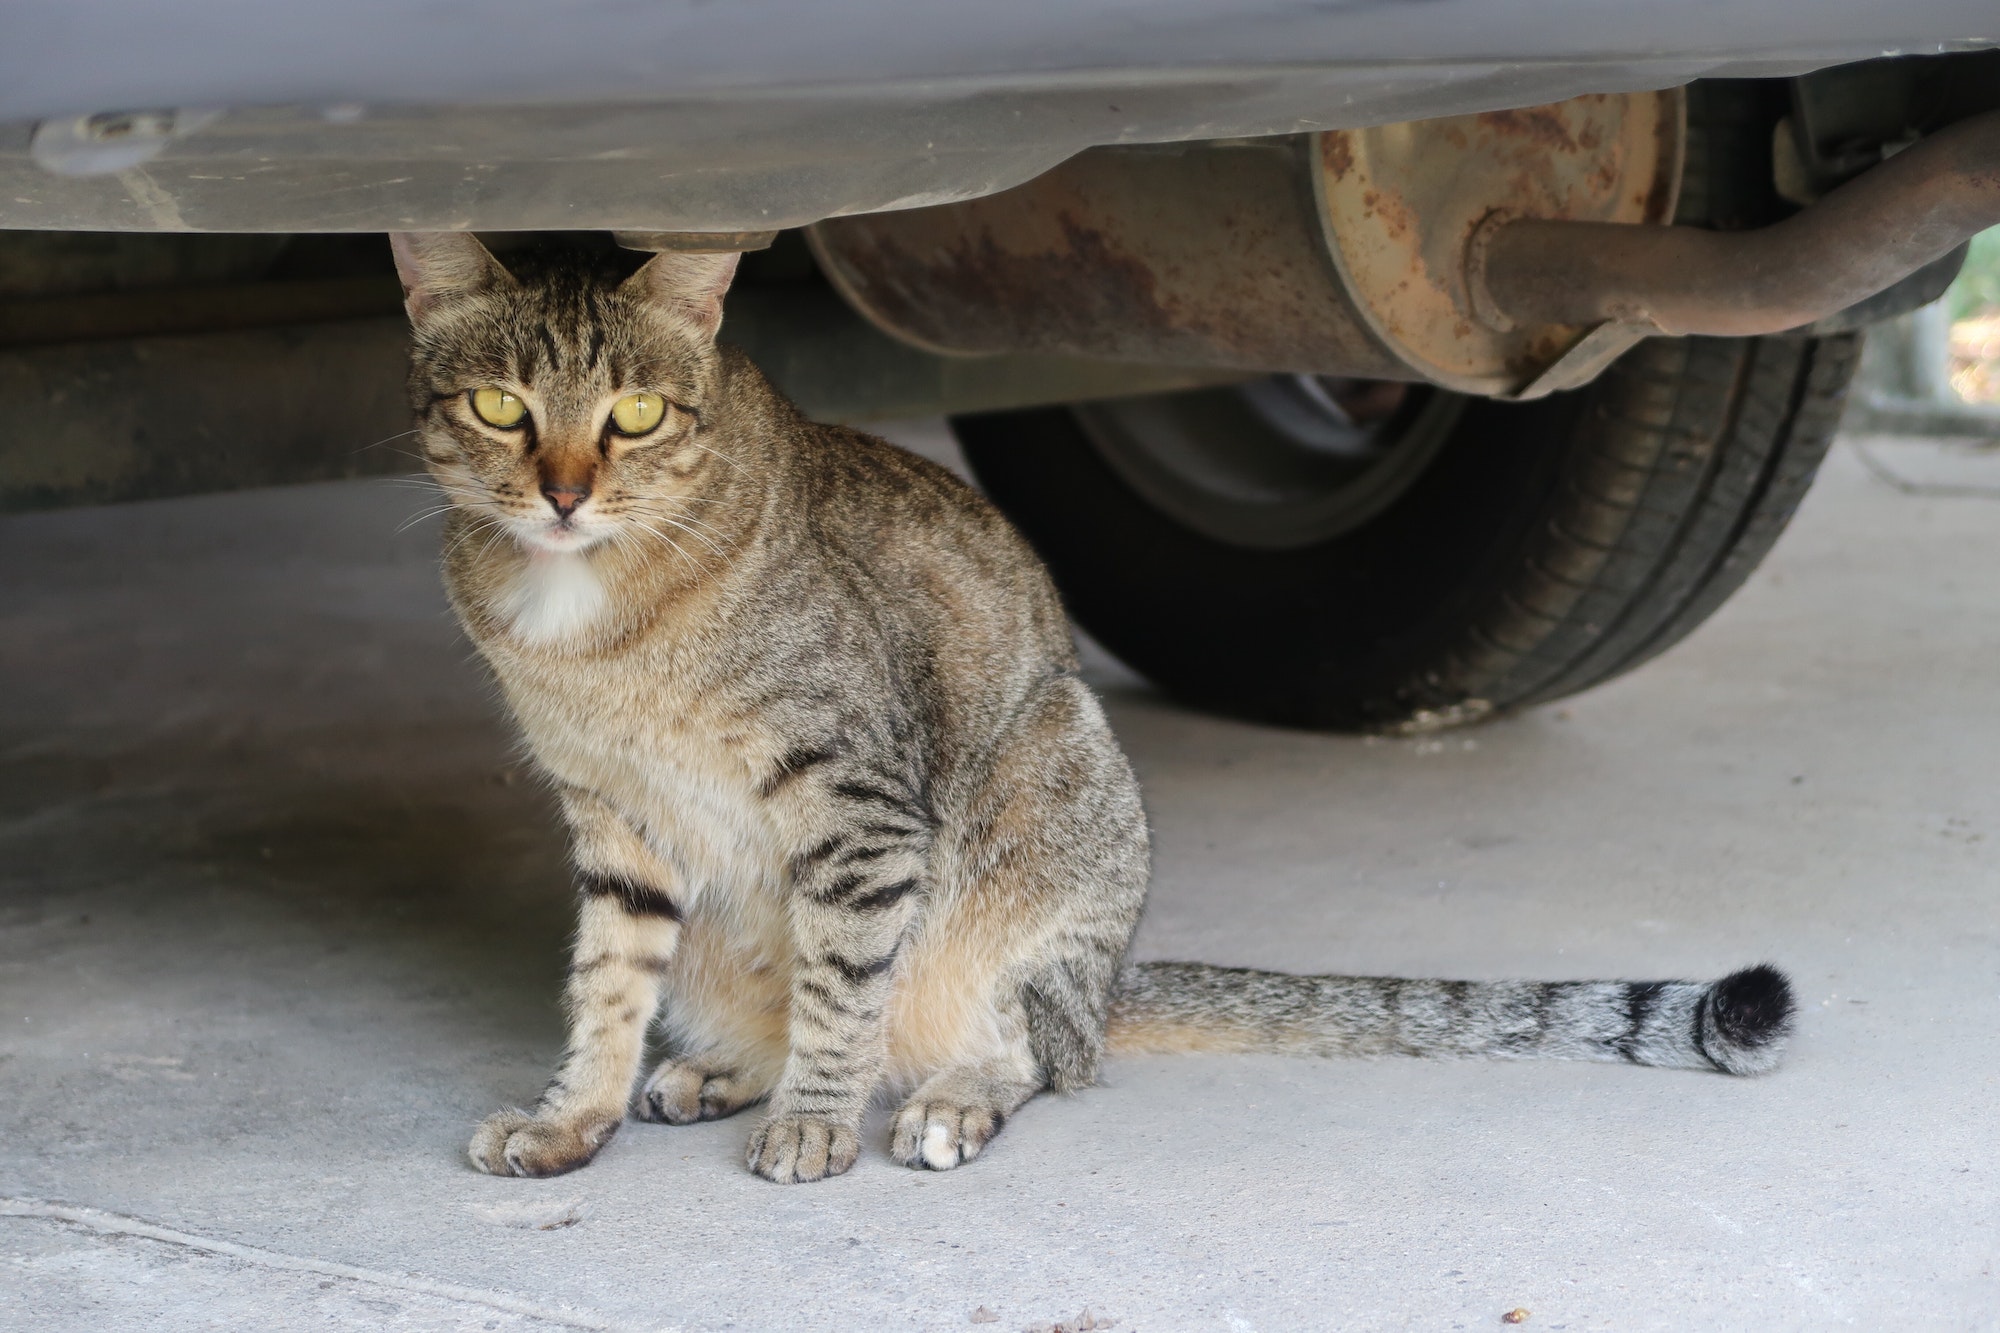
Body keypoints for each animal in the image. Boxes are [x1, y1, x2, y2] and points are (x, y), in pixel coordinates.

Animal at [390, 233, 1800, 1176]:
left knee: (1044, 1050)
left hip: (1046, 807)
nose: (564, 491)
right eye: (501, 406)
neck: (585, 610)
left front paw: (814, 1123)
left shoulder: (859, 808)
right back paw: (721, 1067)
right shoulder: (614, 820)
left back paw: (942, 1096)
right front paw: (573, 1116)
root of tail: (1113, 975)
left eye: (633, 414)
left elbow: (844, 989)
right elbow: (607, 986)